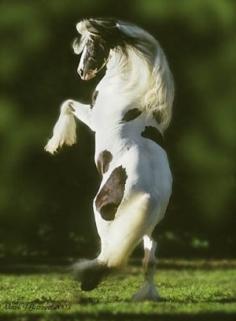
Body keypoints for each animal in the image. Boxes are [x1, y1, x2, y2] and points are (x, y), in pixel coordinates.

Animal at [45, 18, 174, 300]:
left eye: (92, 43)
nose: (82, 71)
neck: (127, 88)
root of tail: (150, 193)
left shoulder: (93, 118)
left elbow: (67, 104)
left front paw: (57, 142)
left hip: (103, 215)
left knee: (109, 252)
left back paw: (88, 280)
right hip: (149, 226)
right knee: (149, 258)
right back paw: (145, 294)